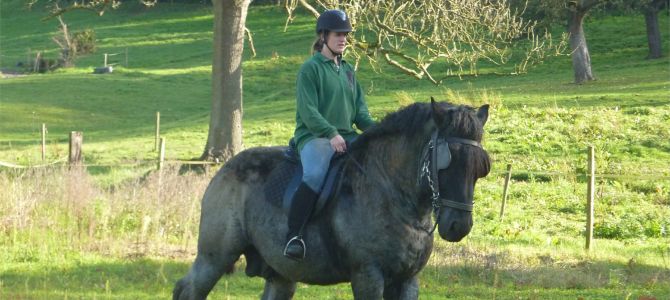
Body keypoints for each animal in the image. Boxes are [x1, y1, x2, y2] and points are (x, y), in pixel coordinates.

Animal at [173, 98, 494, 298]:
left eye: (480, 167)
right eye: (446, 162)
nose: (459, 225)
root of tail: (224, 169)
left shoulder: (407, 280)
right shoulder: (368, 276)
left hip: (280, 275)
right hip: (214, 259)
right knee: (188, 290)